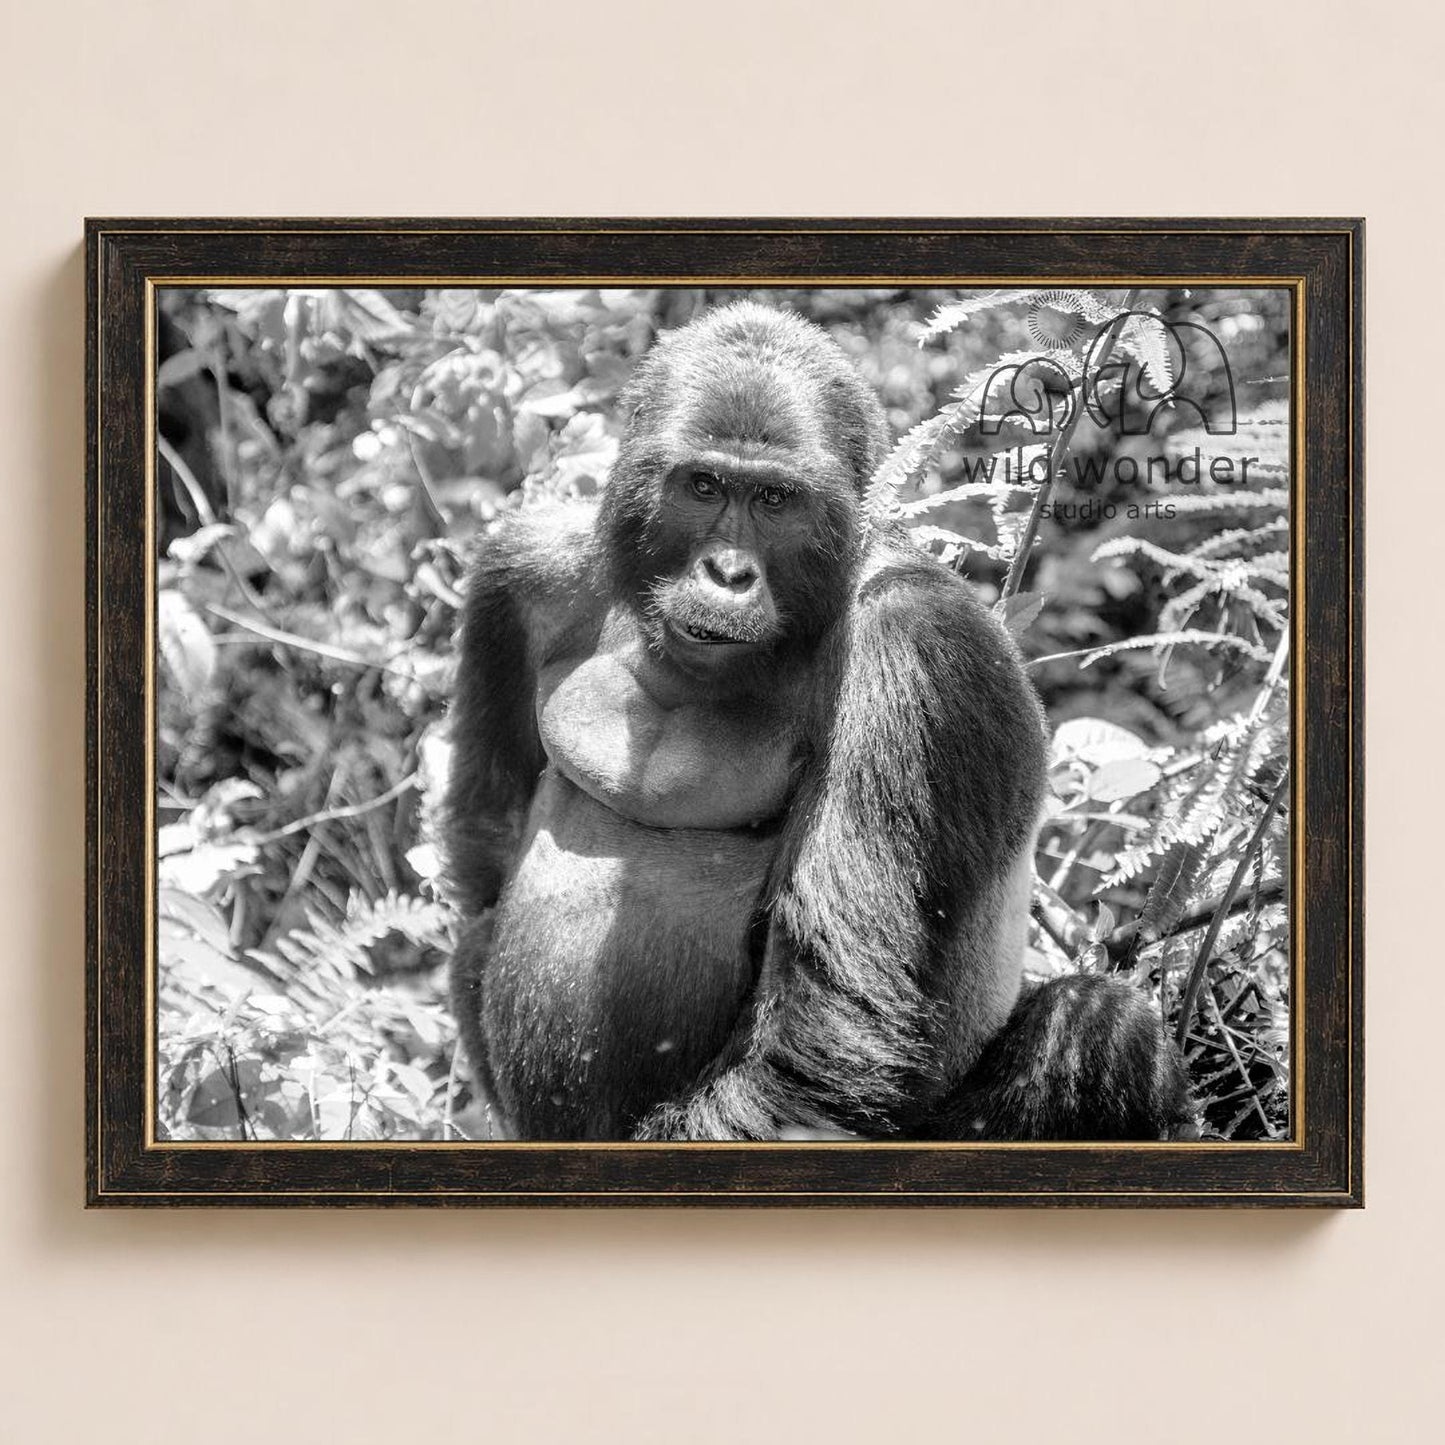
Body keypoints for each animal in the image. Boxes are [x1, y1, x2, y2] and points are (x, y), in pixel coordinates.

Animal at [442, 300, 1192, 1142]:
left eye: (775, 501)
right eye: (702, 485)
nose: (727, 574)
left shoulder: (917, 639)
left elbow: (822, 1033)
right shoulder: (526, 563)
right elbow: (486, 836)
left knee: (1103, 1025)